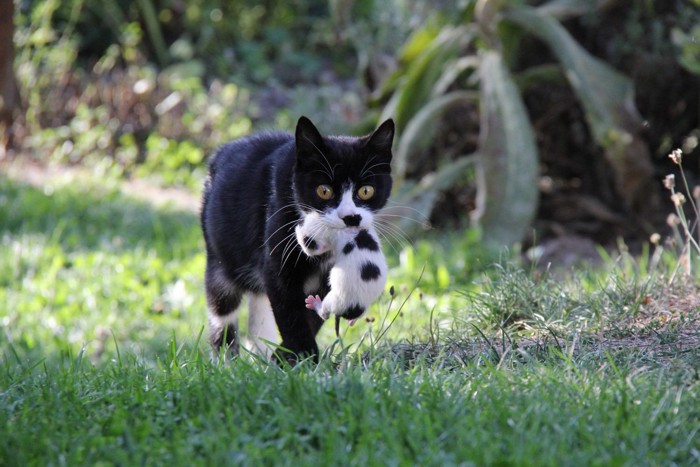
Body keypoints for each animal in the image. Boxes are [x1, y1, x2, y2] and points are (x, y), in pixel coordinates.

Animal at [200, 115, 394, 364]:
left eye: (366, 191)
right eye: (324, 190)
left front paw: (285, 358)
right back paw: (226, 362)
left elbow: (312, 315)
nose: (349, 217)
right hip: (219, 258)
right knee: (222, 311)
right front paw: (303, 357)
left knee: (259, 309)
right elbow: (289, 311)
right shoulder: (278, 258)